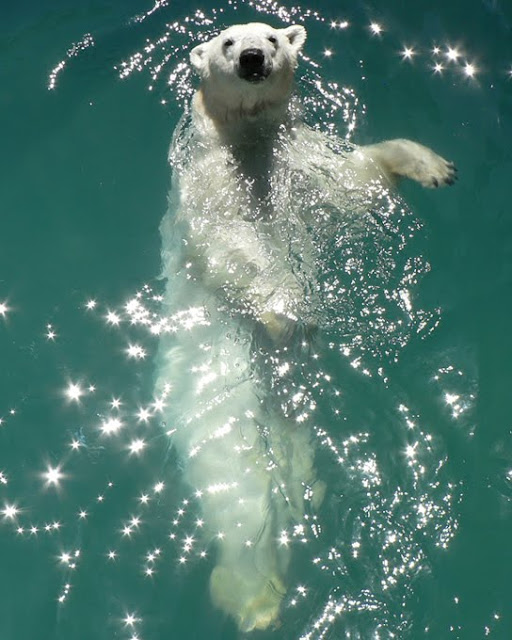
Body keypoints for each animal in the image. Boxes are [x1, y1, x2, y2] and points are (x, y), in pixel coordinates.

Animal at [155, 22, 456, 633]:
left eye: (272, 37)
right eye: (227, 42)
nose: (253, 58)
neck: (246, 138)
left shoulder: (300, 159)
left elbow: (354, 180)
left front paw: (433, 167)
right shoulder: (206, 184)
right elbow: (227, 243)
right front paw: (285, 309)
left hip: (291, 405)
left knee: (294, 457)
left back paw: (301, 501)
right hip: (213, 382)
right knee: (236, 482)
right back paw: (257, 598)